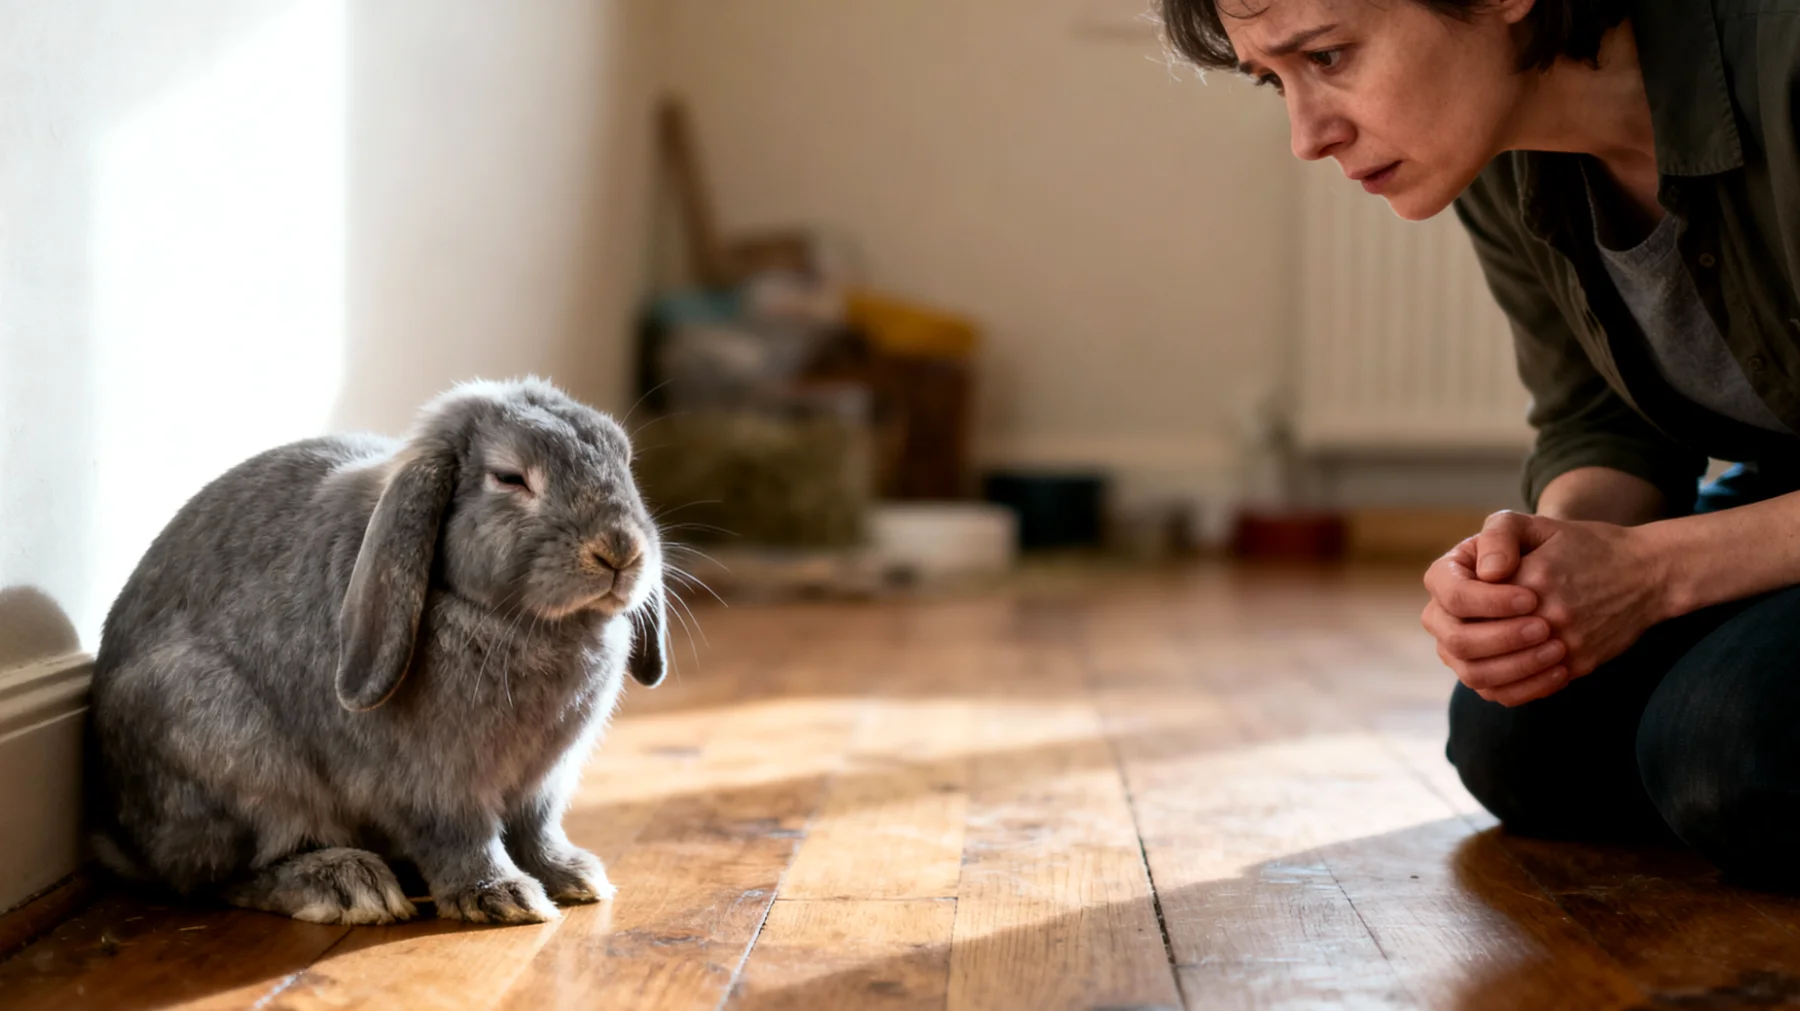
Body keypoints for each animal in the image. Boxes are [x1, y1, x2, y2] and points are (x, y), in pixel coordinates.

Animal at [84, 376, 668, 926]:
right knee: (221, 875)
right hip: (223, 749)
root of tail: (123, 836)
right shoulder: (434, 789)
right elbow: (464, 840)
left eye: (625, 461)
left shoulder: (544, 786)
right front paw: (504, 898)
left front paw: (574, 877)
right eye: (510, 477)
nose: (619, 550)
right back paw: (347, 886)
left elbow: (538, 832)